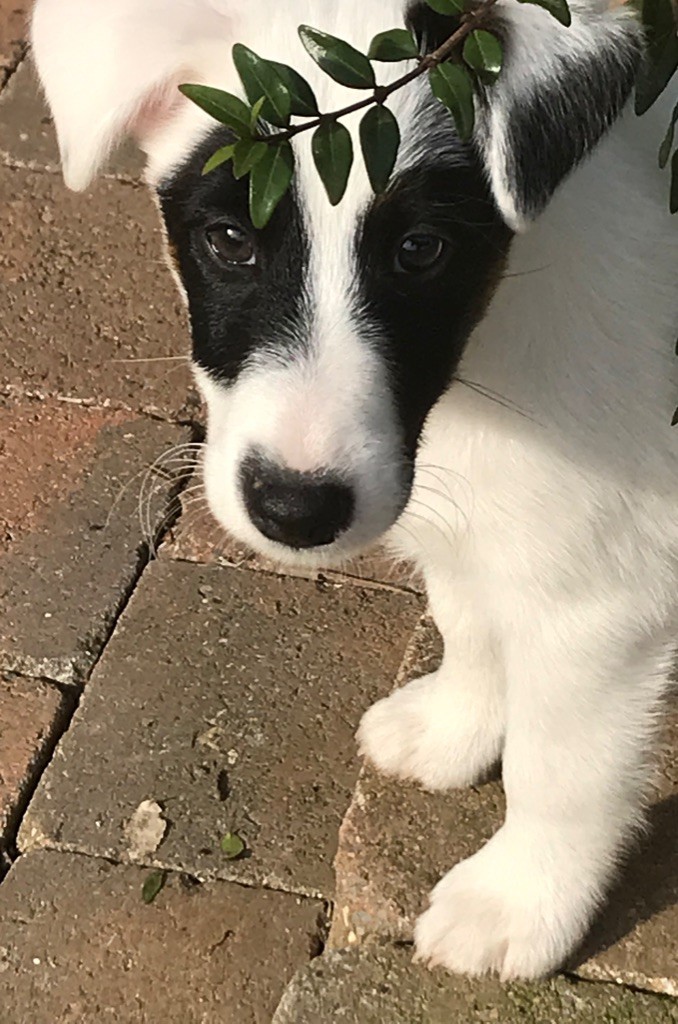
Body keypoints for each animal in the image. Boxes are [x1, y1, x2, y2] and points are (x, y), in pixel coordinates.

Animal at [31, 0, 678, 978]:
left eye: (420, 250)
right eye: (229, 240)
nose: (294, 510)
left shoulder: (602, 597)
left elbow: (558, 768)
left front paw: (518, 902)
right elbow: (470, 619)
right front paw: (455, 728)